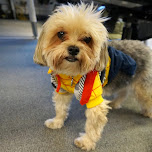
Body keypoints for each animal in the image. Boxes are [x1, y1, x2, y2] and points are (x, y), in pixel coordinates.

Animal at [33, 2, 152, 151]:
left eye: (88, 39)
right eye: (60, 34)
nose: (73, 49)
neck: (72, 74)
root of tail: (145, 46)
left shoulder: (94, 98)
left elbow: (93, 125)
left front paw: (86, 142)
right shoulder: (62, 91)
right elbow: (60, 108)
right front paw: (57, 121)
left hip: (142, 87)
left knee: (146, 98)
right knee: (123, 92)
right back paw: (115, 103)